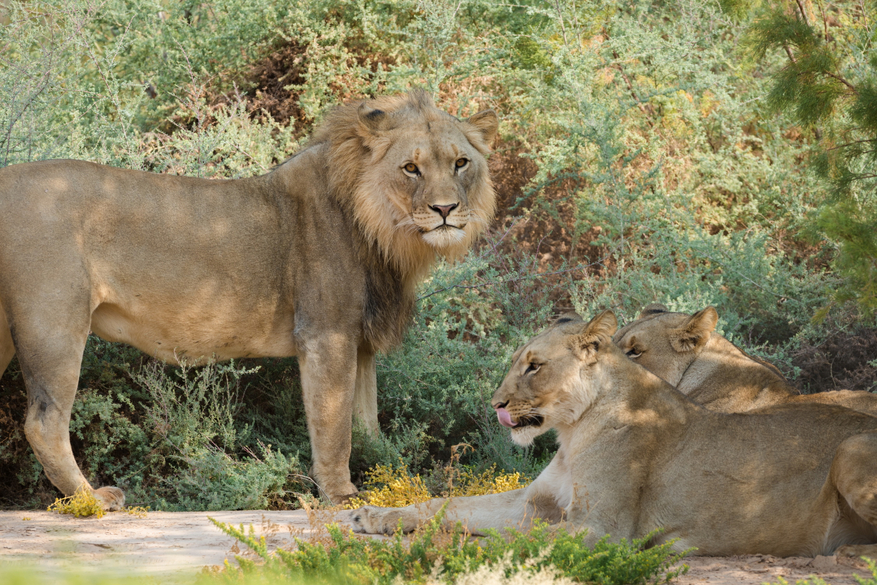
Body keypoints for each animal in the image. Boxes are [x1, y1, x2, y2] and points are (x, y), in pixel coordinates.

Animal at [0, 91, 496, 506]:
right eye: (411, 168)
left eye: (460, 163)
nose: (446, 210)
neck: (383, 232)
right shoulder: (326, 331)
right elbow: (334, 424)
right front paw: (342, 495)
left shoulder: (359, 341)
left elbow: (366, 419)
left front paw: (393, 474)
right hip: (55, 324)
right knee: (44, 422)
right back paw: (90, 500)